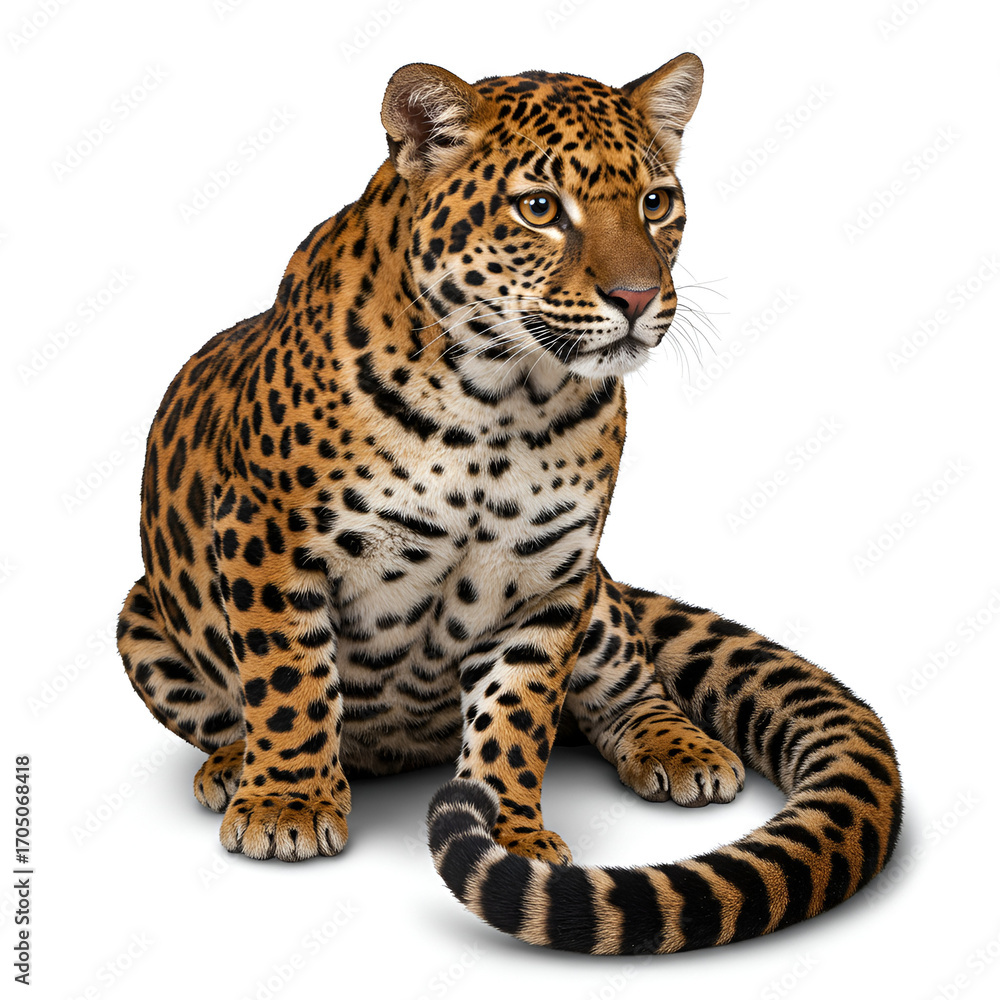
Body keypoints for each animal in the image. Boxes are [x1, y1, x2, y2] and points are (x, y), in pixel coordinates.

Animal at [116, 52, 902, 954]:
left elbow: (519, 714)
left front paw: (505, 833)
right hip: (140, 617)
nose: (639, 298)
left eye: (655, 202)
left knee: (630, 686)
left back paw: (680, 748)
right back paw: (231, 767)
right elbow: (289, 679)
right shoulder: (269, 538)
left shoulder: (547, 577)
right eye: (540, 209)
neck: (500, 402)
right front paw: (287, 802)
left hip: (601, 600)